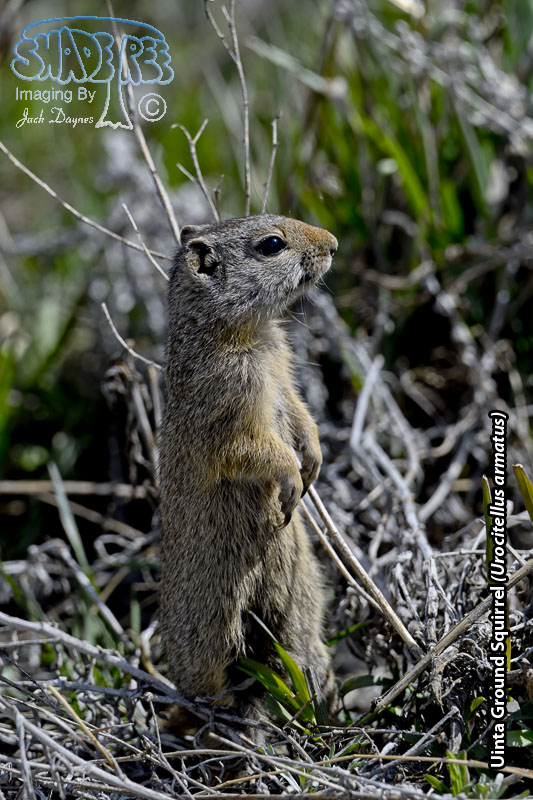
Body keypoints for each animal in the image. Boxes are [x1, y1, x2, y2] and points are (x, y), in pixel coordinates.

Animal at [158, 214, 338, 727]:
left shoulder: (284, 377)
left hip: (298, 604)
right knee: (212, 694)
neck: (249, 333)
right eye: (271, 245)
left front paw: (314, 461)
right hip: (214, 635)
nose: (334, 243)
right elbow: (258, 451)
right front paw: (293, 485)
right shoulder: (230, 412)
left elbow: (301, 415)